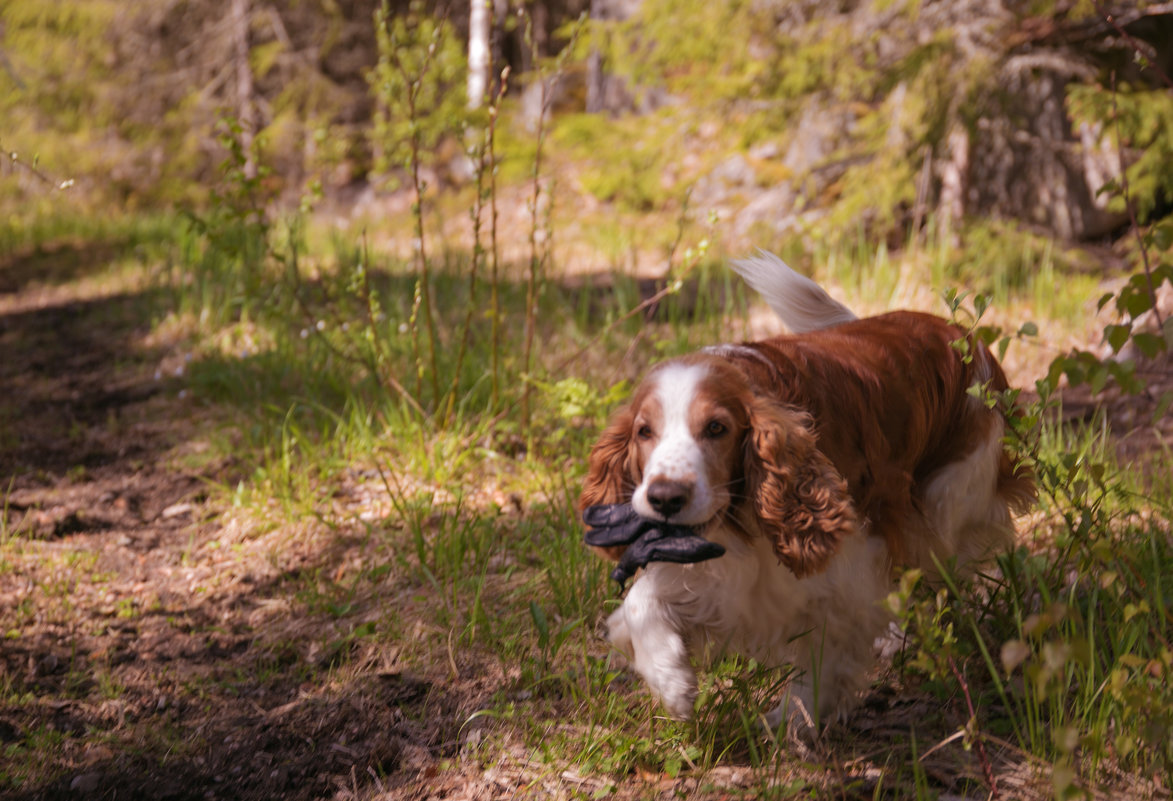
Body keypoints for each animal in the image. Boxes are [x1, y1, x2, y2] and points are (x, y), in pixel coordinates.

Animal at [581, 252, 1032, 731]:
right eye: (643, 432)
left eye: (717, 428)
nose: (666, 497)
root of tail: (960, 334)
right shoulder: (717, 573)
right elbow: (640, 605)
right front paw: (673, 683)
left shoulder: (846, 567)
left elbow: (827, 650)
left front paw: (794, 717)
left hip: (949, 499)